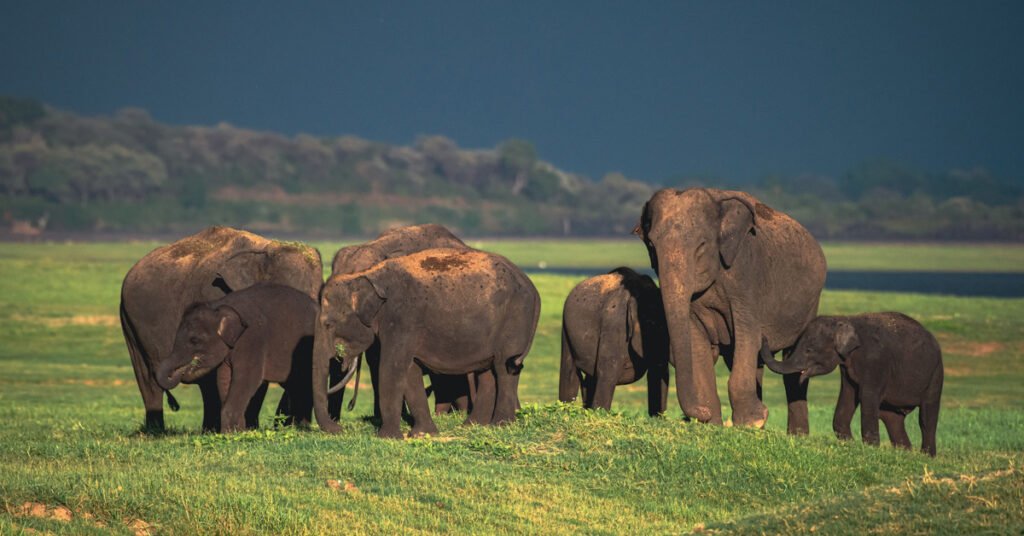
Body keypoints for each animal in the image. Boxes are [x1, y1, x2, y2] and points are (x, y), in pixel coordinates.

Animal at [157, 284, 318, 433]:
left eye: (194, 340)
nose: (179, 371)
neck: (219, 306)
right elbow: (223, 379)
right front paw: (235, 431)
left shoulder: (252, 340)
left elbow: (247, 379)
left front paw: (233, 433)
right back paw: (297, 427)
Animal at [314, 248, 540, 439]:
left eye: (328, 324)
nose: (340, 429)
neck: (367, 274)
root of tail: (532, 287)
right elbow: (410, 371)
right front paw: (422, 434)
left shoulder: (402, 319)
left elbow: (392, 368)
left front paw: (387, 437)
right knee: (488, 372)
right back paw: (473, 425)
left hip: (515, 318)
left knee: (504, 368)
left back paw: (500, 425)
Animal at [559, 267, 670, 416]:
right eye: (652, 324)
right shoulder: (615, 325)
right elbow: (608, 372)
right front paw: (600, 414)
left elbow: (658, 372)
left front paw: (658, 418)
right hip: (566, 327)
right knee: (569, 370)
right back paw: (565, 411)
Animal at [635, 188, 827, 433]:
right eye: (651, 245)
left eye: (702, 245)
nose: (697, 414)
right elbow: (697, 341)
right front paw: (713, 424)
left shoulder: (746, 272)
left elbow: (748, 335)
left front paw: (752, 422)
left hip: (810, 303)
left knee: (791, 364)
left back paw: (797, 435)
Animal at [762, 313, 944, 456]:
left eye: (809, 350)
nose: (764, 337)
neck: (846, 320)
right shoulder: (847, 368)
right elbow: (849, 395)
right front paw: (850, 444)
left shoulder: (875, 362)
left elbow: (866, 397)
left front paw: (870, 449)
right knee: (892, 419)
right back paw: (905, 453)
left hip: (936, 373)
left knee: (927, 416)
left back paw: (926, 456)